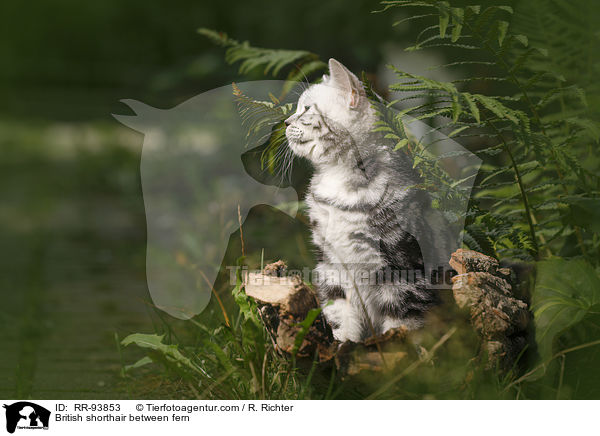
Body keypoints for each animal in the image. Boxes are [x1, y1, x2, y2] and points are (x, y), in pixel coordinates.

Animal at [284, 58, 442, 344]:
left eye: (307, 109)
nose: (284, 122)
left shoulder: (403, 264)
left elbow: (403, 321)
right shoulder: (331, 264)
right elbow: (340, 315)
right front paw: (342, 347)